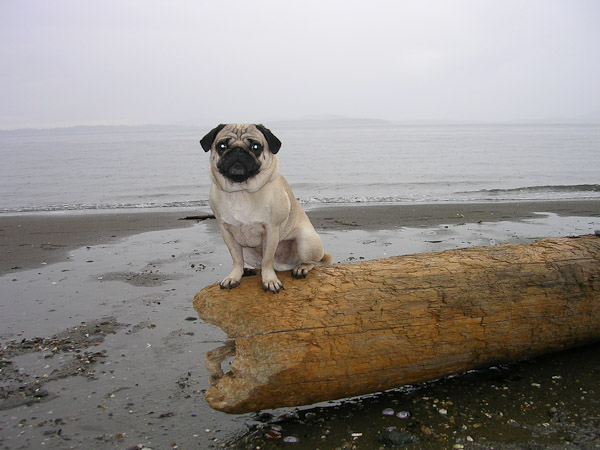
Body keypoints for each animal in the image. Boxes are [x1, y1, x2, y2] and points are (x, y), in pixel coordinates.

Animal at [200, 124, 332, 293]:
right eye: (222, 146)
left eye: (256, 147)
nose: (238, 150)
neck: (241, 191)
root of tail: (284, 266)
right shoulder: (226, 231)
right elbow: (236, 259)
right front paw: (234, 277)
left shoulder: (271, 230)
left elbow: (267, 260)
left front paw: (270, 280)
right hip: (248, 251)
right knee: (256, 264)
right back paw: (249, 271)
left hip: (306, 241)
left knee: (313, 262)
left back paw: (302, 268)